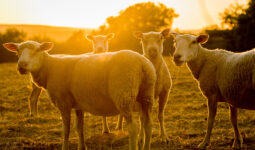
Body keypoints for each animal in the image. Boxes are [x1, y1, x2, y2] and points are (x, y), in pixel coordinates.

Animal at [3, 40, 155, 150]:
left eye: (37, 50)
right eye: (17, 51)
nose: (21, 66)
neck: (49, 67)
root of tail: (142, 64)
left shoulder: (63, 102)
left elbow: (66, 129)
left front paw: (64, 147)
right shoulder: (78, 104)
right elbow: (79, 127)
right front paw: (82, 147)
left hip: (124, 96)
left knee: (133, 128)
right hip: (146, 97)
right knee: (148, 125)